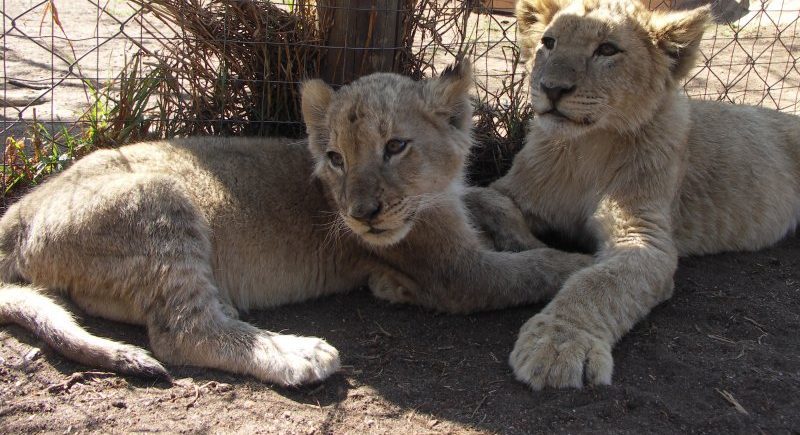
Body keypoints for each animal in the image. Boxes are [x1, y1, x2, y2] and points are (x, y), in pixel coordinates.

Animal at [0, 63, 591, 386]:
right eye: (336, 159)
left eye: (396, 146)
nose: (360, 215)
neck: (433, 193)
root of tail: (19, 212)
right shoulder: (452, 271)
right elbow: (534, 268)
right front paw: (584, 263)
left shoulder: (456, 209)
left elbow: (491, 201)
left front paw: (516, 227)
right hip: (160, 201)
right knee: (182, 331)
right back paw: (298, 353)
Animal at [466, 0, 800, 390]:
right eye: (549, 42)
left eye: (607, 50)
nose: (551, 88)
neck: (585, 148)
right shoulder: (512, 190)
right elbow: (485, 199)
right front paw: (528, 246)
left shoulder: (645, 234)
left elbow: (600, 282)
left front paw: (558, 343)